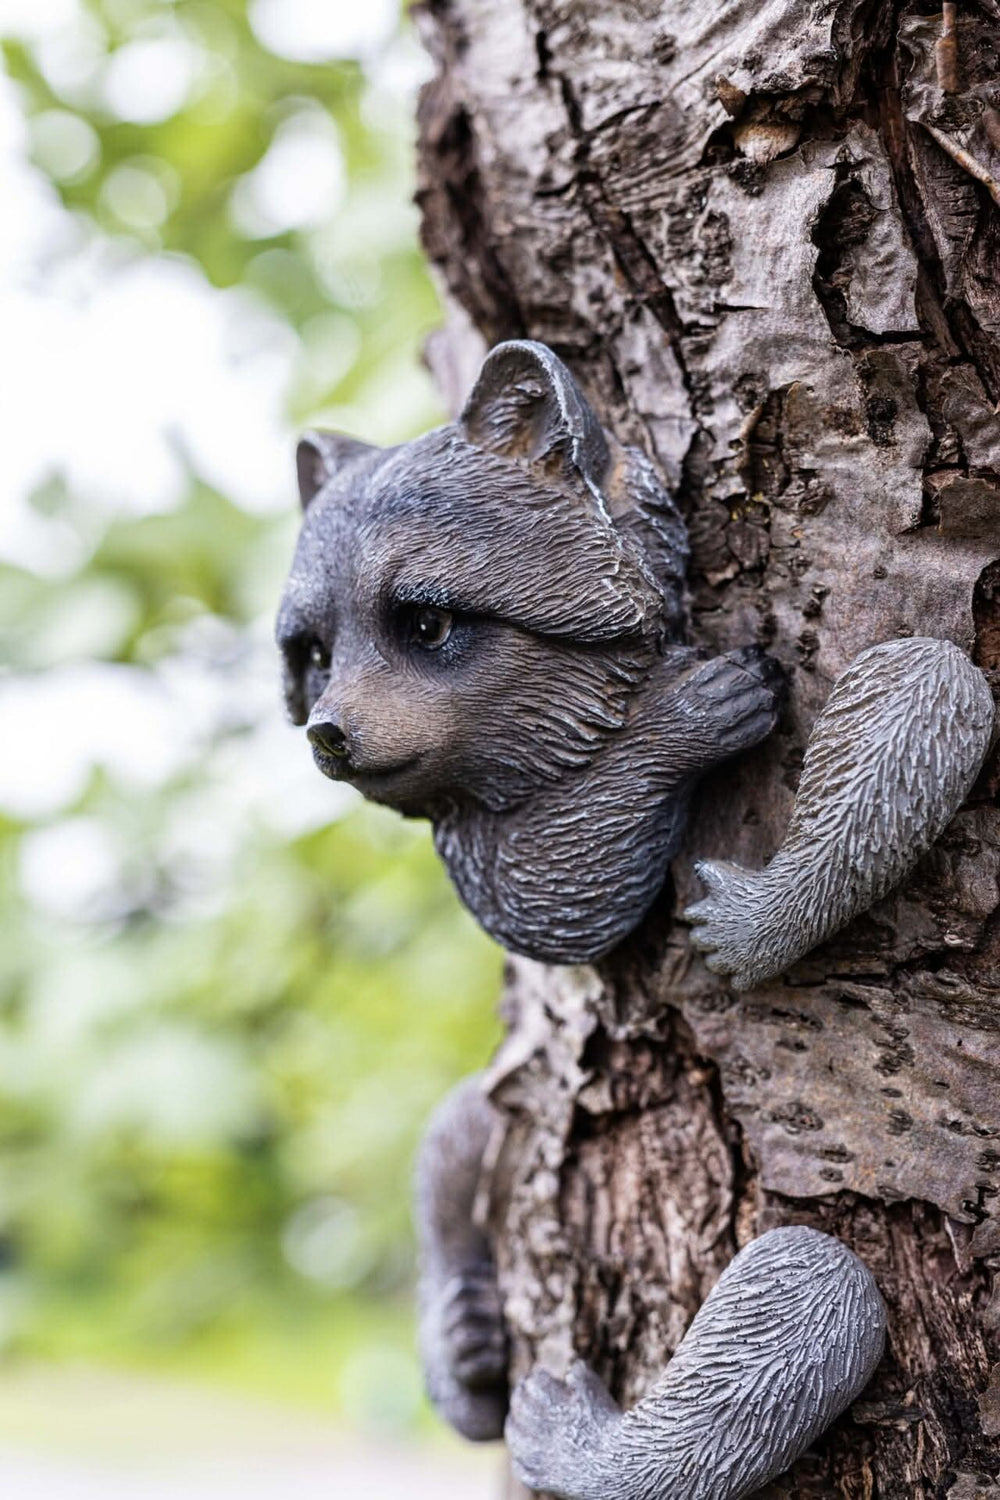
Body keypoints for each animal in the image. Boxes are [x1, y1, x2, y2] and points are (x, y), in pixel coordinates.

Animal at [276, 340, 782, 964]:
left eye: (428, 623)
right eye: (318, 656)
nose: (326, 732)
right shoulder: (499, 866)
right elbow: (559, 892)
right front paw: (691, 714)